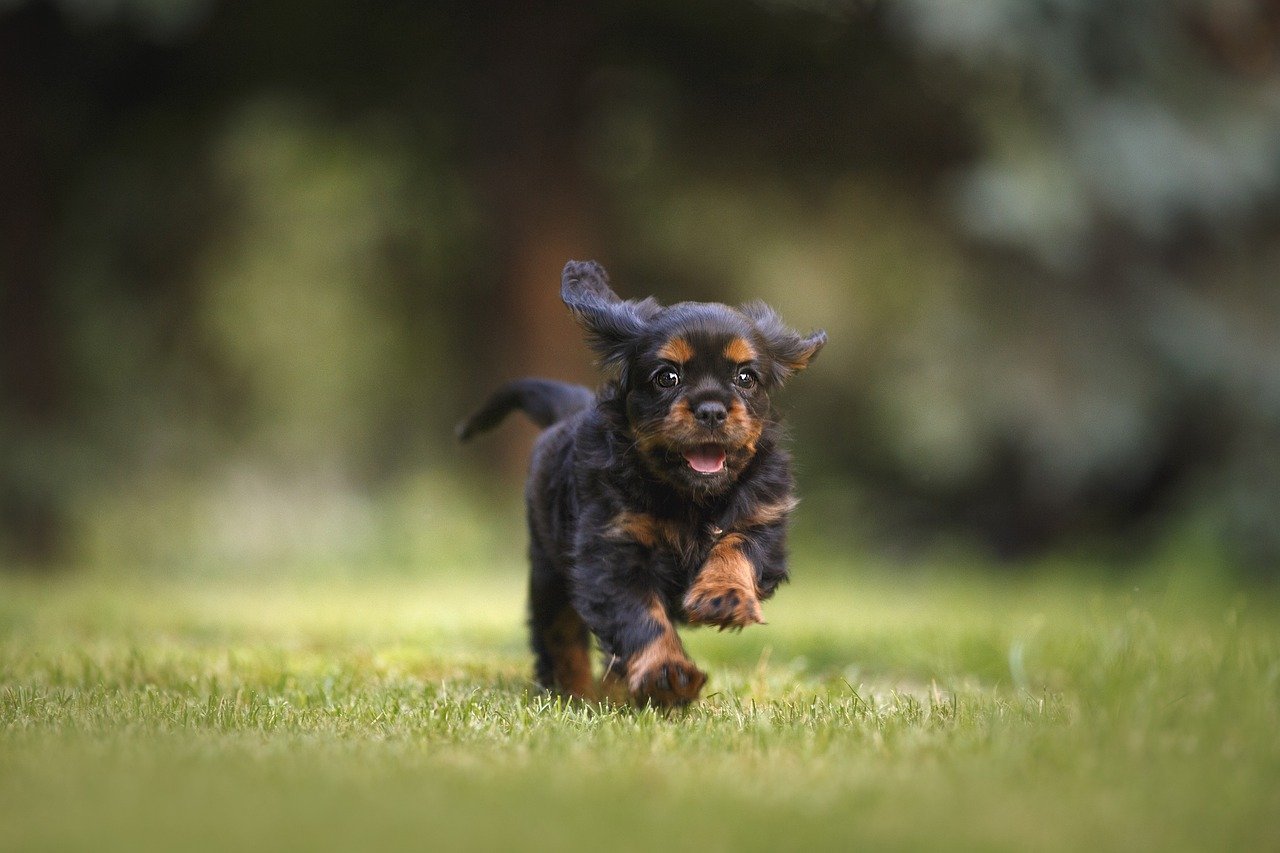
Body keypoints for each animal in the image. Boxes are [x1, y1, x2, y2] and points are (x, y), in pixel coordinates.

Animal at [455, 258, 824, 701]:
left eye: (745, 378)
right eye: (667, 378)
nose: (712, 410)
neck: (691, 497)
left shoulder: (764, 521)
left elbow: (736, 546)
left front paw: (723, 595)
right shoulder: (612, 550)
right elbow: (640, 618)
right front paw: (667, 674)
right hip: (549, 573)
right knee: (559, 636)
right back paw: (577, 693)